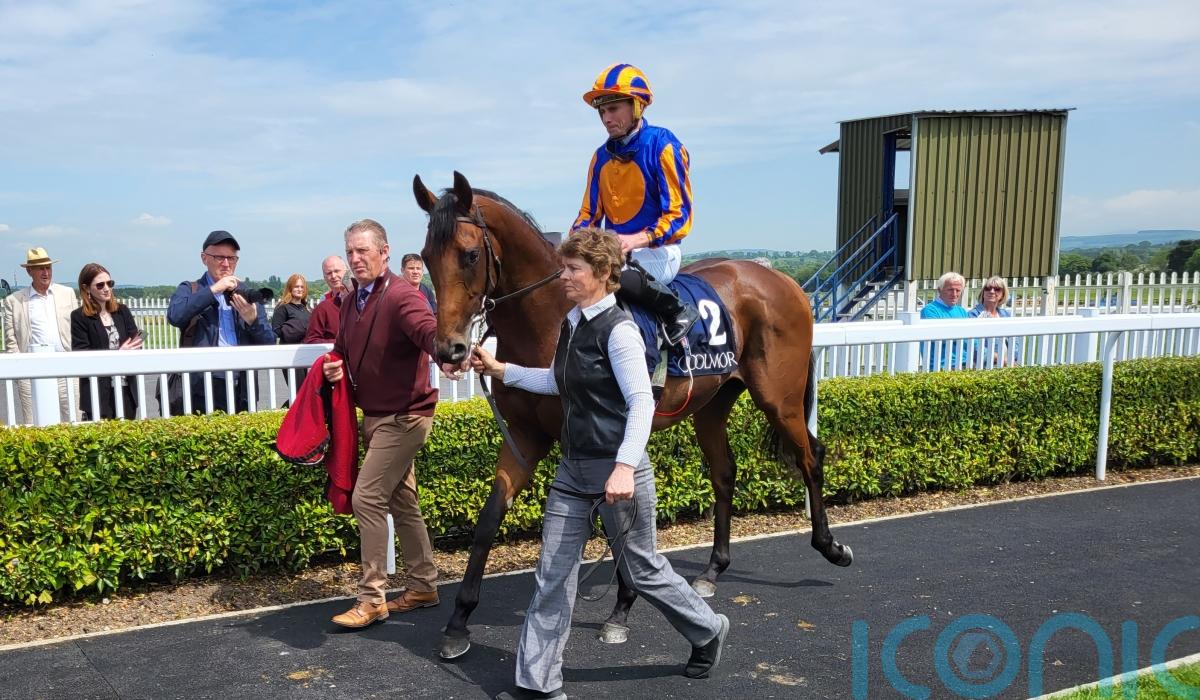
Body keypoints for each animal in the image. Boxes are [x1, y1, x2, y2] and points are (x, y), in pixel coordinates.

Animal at [414, 171, 853, 660]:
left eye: (470, 254)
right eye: (427, 257)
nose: (449, 350)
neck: (553, 318)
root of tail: (783, 280)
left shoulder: (592, 438)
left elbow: (613, 518)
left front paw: (622, 607)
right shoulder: (526, 435)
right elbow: (489, 520)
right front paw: (458, 622)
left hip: (779, 396)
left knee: (811, 456)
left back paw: (831, 546)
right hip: (712, 404)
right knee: (725, 472)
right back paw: (713, 570)